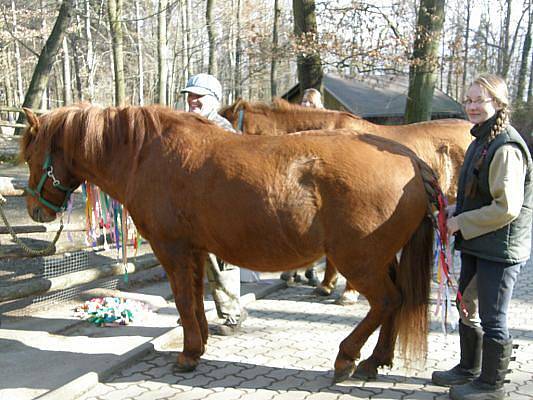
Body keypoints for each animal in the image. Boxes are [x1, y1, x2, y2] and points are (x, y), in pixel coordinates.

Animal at [22, 104, 434, 382]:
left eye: (30, 155)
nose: (34, 209)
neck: (147, 155)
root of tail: (411, 160)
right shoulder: (195, 250)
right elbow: (196, 297)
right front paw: (200, 342)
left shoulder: (172, 249)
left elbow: (183, 299)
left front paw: (189, 354)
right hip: (381, 258)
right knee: (398, 300)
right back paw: (375, 360)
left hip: (359, 261)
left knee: (387, 301)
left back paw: (347, 357)